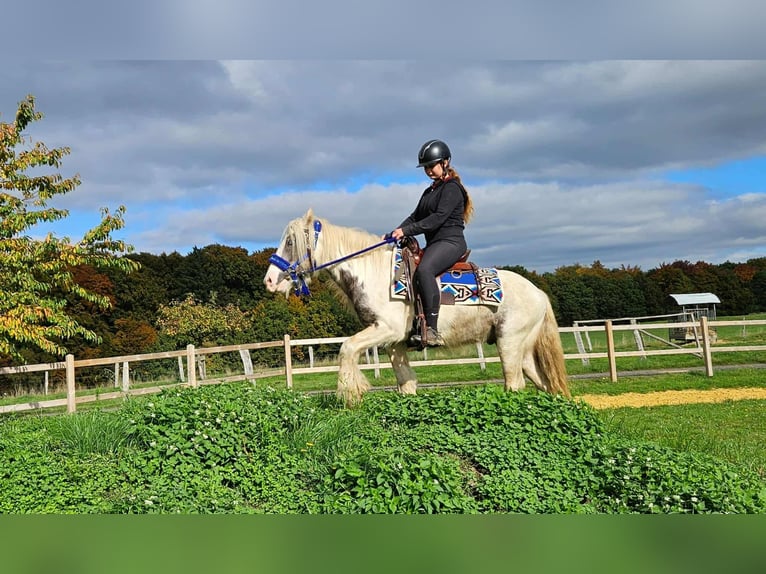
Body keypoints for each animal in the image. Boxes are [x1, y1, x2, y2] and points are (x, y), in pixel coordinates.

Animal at [263, 208, 570, 406]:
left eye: (290, 241)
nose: (269, 280)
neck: (374, 272)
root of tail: (539, 292)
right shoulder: (395, 342)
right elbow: (406, 382)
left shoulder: (386, 329)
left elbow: (347, 348)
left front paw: (351, 394)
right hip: (524, 350)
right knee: (544, 383)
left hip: (509, 343)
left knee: (514, 384)